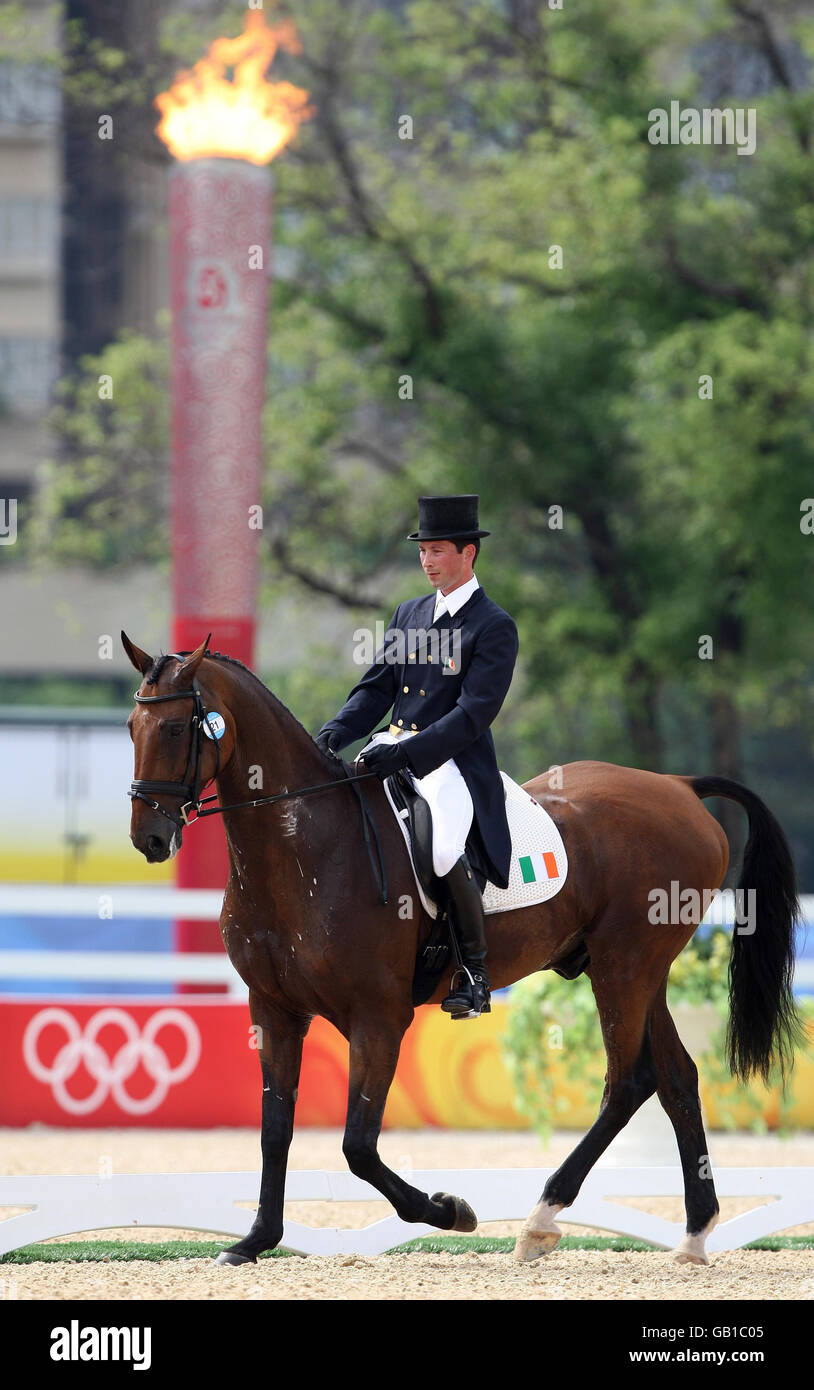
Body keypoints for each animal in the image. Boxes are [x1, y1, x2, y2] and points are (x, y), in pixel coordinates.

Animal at [120, 636, 800, 1267]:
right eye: (131, 727)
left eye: (177, 727)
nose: (149, 838)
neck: (304, 849)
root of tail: (680, 787)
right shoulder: (274, 1009)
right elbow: (275, 1130)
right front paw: (256, 1239)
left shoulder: (379, 1016)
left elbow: (357, 1146)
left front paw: (449, 1210)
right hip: (639, 969)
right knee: (676, 1078)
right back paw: (693, 1235)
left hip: (624, 964)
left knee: (628, 1080)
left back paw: (541, 1219)